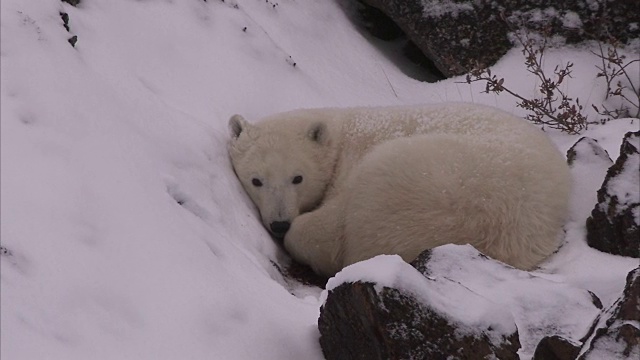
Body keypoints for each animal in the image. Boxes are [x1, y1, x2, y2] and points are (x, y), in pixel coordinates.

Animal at [229, 102, 568, 278]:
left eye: (297, 178)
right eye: (256, 180)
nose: (279, 224)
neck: (342, 136)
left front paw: (299, 232)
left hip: (416, 180)